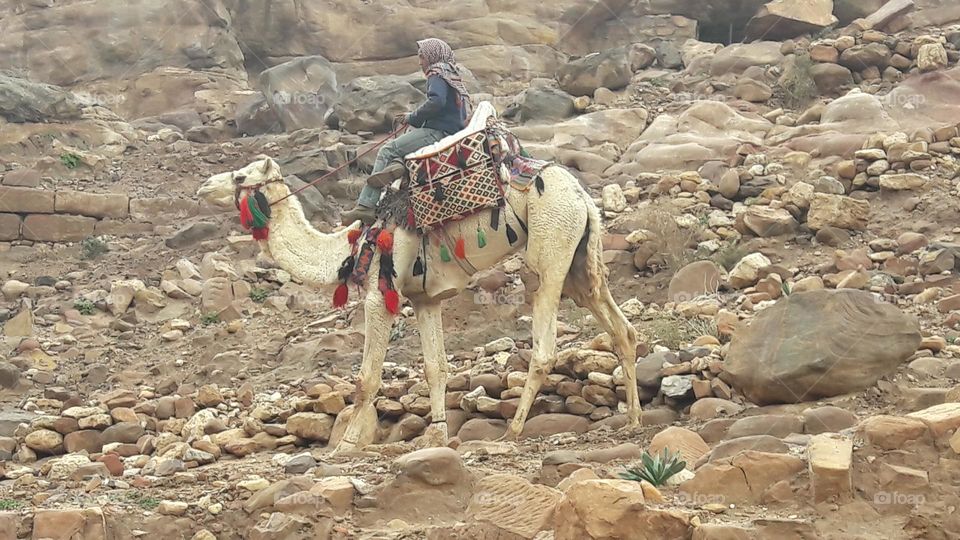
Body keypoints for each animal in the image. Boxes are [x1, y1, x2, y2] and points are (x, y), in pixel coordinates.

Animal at [196, 104, 640, 453]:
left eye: (240, 177)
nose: (203, 187)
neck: (349, 246)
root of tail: (583, 198)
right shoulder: (425, 298)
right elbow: (435, 368)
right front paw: (437, 436)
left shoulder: (380, 291)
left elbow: (367, 378)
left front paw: (345, 445)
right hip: (580, 258)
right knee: (622, 328)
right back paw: (634, 418)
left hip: (550, 249)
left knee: (545, 346)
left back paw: (512, 431)